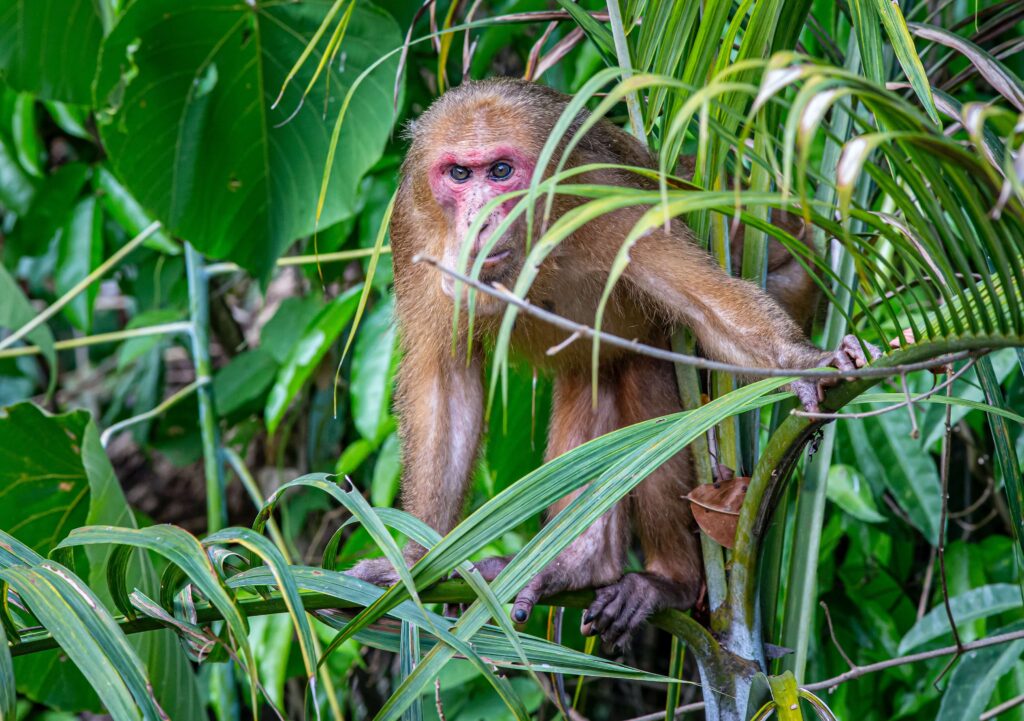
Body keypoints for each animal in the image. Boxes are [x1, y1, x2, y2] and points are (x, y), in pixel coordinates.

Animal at [348, 77, 876, 647]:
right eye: (460, 175)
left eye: (501, 172)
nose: (480, 220)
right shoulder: (414, 226)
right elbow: (445, 380)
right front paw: (415, 561)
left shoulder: (608, 200)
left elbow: (708, 307)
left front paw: (803, 363)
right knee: (599, 373)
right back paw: (583, 566)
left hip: (796, 274)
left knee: (653, 378)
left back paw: (670, 581)